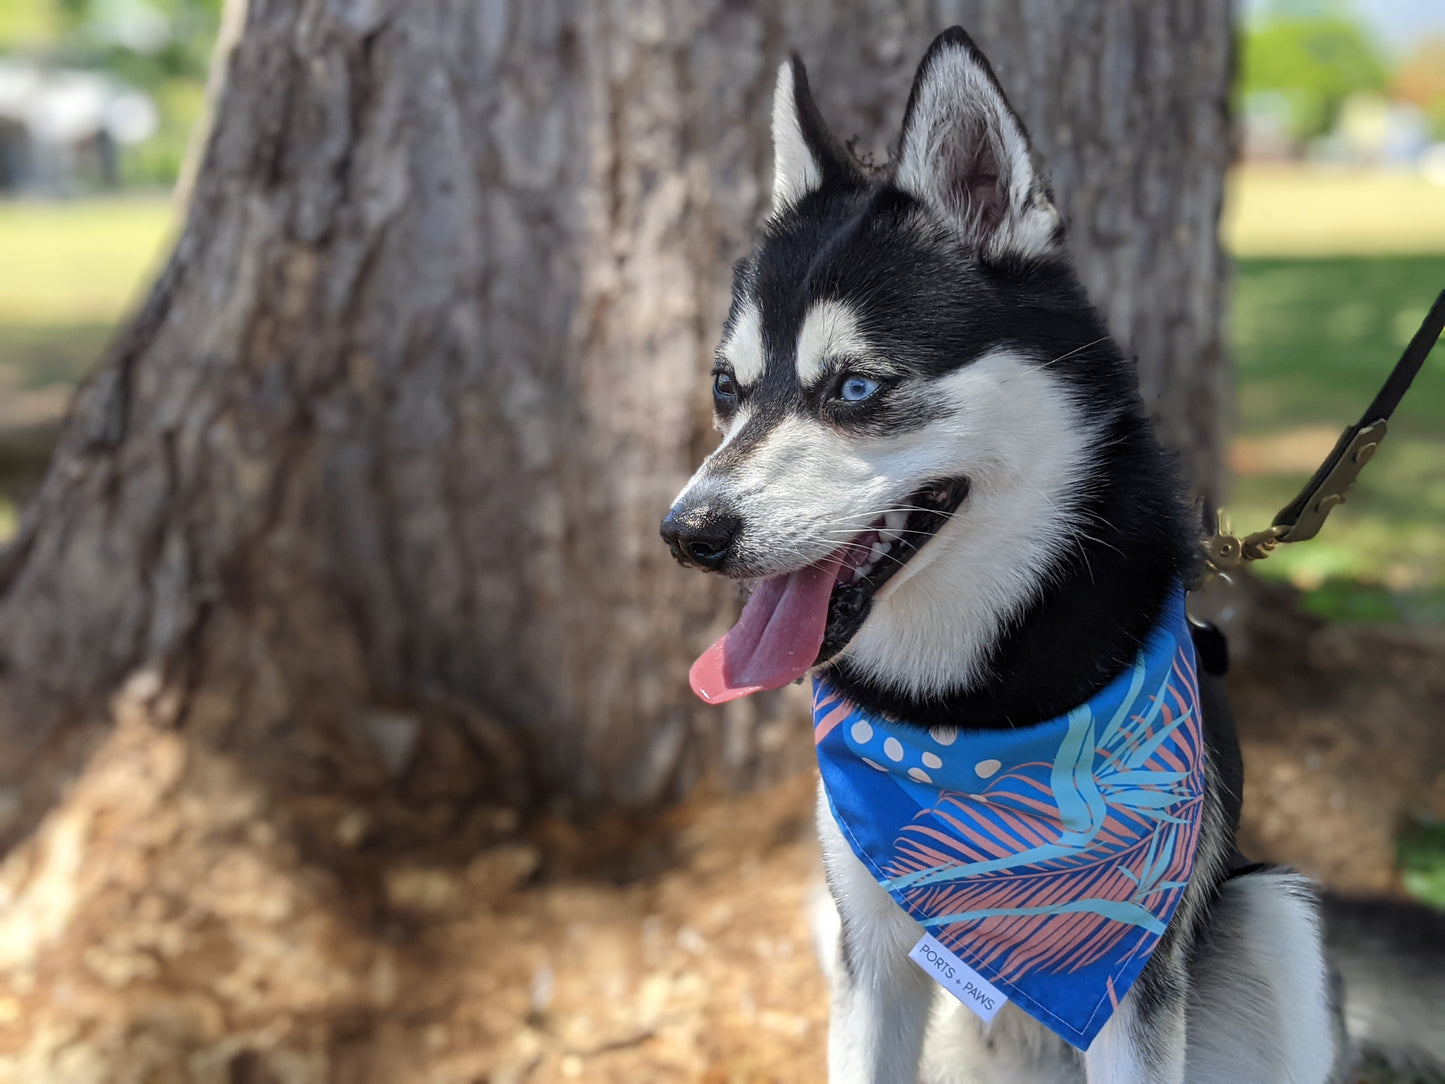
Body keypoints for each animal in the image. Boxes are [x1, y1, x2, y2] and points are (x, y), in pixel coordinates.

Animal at [661, 25, 1439, 1084]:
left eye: (855, 388)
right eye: (726, 389)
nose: (685, 534)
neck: (959, 714)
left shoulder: (1125, 980)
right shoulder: (868, 954)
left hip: (1272, 908)